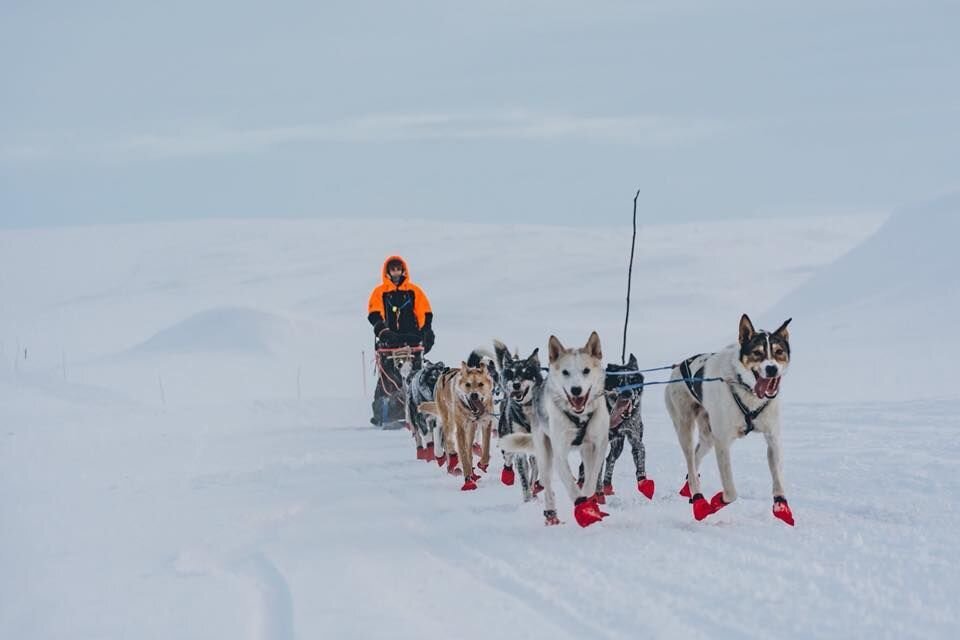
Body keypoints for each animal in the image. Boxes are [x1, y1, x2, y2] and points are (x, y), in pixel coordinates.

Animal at [420, 356, 496, 490]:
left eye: (480, 384)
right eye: (468, 384)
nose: (474, 395)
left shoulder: (486, 423)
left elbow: (485, 448)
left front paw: (482, 464)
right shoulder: (460, 429)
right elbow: (464, 454)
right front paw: (468, 480)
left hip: (470, 429)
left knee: (468, 446)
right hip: (449, 421)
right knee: (448, 440)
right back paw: (453, 459)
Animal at [498, 332, 612, 528]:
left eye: (586, 370)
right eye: (565, 372)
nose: (576, 390)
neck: (579, 417)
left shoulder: (598, 446)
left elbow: (590, 479)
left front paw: (590, 502)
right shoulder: (559, 453)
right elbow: (572, 487)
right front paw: (583, 508)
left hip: (584, 450)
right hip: (544, 455)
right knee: (547, 486)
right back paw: (551, 515)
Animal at [668, 314, 796, 524]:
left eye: (779, 352)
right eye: (757, 353)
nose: (772, 369)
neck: (747, 390)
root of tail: (677, 368)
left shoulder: (773, 438)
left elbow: (778, 478)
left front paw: (781, 506)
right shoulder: (723, 443)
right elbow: (731, 492)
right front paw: (715, 502)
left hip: (708, 436)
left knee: (696, 457)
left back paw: (689, 489)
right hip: (685, 428)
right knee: (690, 461)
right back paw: (698, 500)